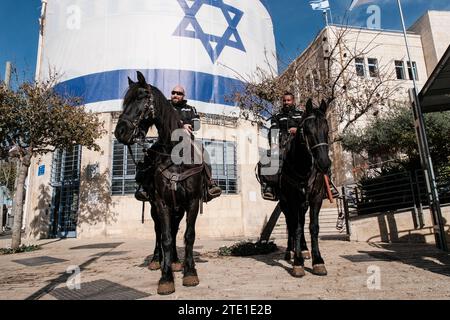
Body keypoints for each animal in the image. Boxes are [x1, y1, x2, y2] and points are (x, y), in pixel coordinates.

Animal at [114, 70, 204, 296]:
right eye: (125, 101)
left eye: (140, 97)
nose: (120, 132)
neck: (176, 155)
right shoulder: (162, 203)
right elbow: (165, 238)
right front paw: (165, 278)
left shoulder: (191, 202)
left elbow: (188, 235)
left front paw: (189, 272)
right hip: (155, 206)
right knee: (158, 231)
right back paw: (157, 260)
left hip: (178, 207)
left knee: (174, 229)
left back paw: (175, 261)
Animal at [282, 99, 330, 276]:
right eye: (307, 130)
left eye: (326, 129)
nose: (324, 163)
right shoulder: (293, 199)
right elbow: (295, 227)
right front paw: (297, 263)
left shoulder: (316, 197)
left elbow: (313, 227)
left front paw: (318, 261)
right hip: (285, 204)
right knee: (291, 223)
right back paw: (290, 251)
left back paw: (303, 250)